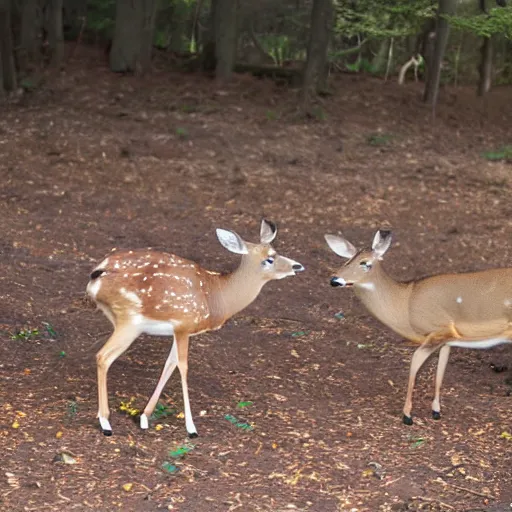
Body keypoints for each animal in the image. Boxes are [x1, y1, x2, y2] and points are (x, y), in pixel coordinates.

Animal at [88, 218, 304, 438]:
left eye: (275, 251)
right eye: (269, 259)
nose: (298, 266)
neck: (217, 297)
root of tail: (97, 275)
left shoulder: (179, 330)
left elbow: (169, 363)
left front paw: (144, 417)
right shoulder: (184, 324)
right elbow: (182, 366)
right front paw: (191, 428)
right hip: (130, 320)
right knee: (103, 356)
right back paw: (105, 422)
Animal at [326, 230, 510, 426]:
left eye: (365, 263)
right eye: (346, 261)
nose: (334, 280)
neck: (405, 305)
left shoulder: (438, 330)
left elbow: (414, 363)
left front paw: (407, 416)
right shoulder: (447, 340)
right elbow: (440, 370)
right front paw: (436, 411)